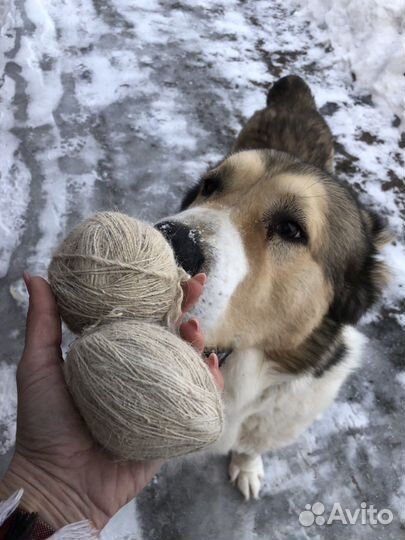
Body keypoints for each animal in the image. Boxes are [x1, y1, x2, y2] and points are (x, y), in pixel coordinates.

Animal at [155, 75, 388, 498]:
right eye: (210, 186)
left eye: (291, 230)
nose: (165, 241)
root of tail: (294, 93)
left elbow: (251, 445)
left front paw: (246, 467)